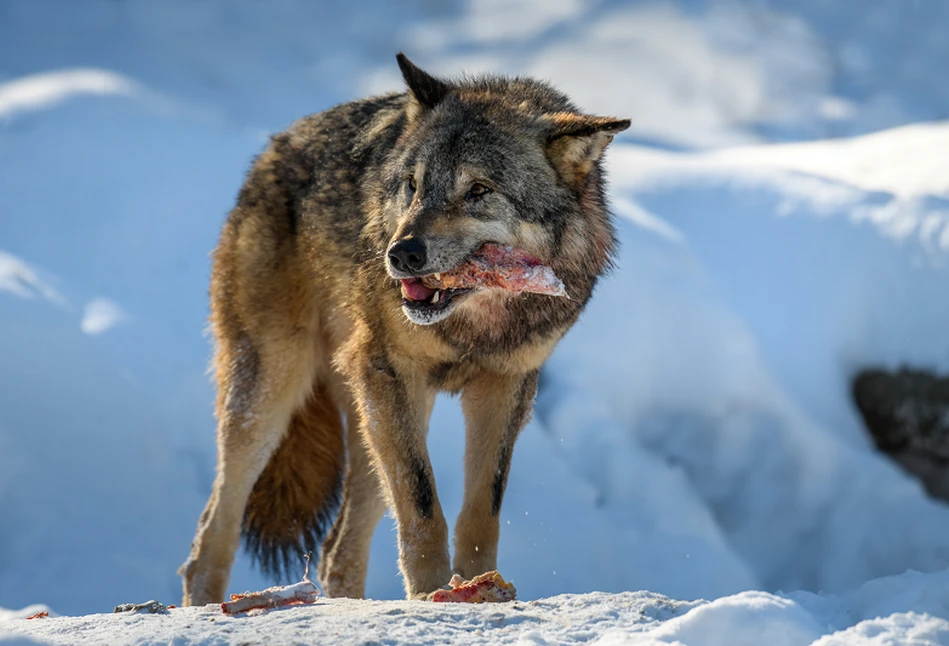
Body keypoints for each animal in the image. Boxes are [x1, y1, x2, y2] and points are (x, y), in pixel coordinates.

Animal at [179, 52, 628, 608]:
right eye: (413, 185)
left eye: (478, 190)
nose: (401, 254)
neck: (477, 324)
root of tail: (271, 151)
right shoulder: (389, 371)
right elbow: (422, 508)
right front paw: (433, 596)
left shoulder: (505, 387)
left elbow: (482, 513)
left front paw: (478, 587)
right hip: (276, 393)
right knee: (209, 539)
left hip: (377, 421)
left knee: (336, 550)